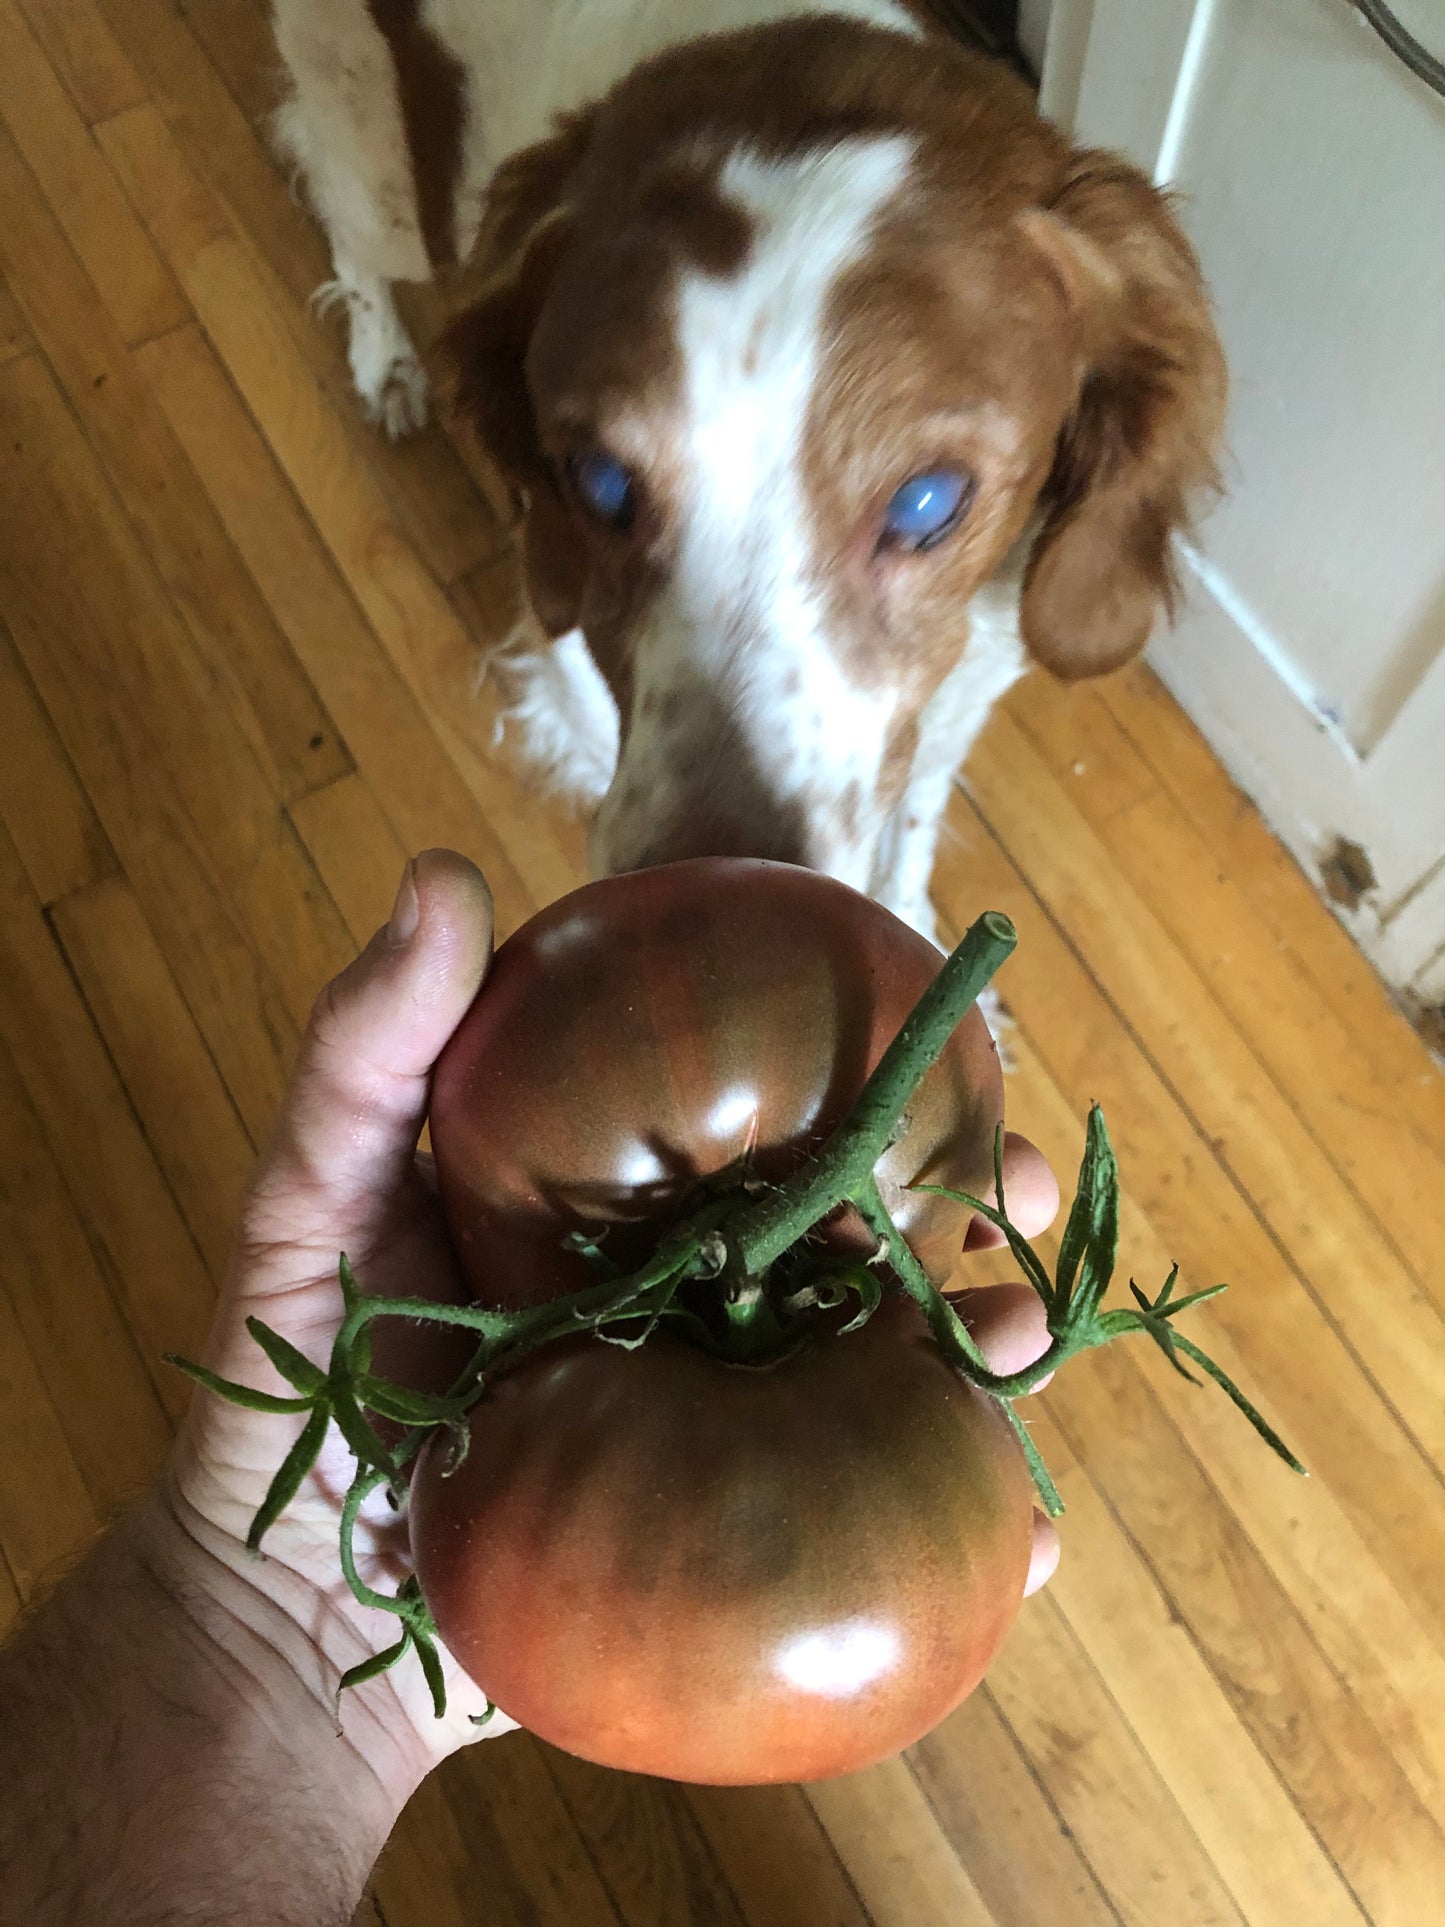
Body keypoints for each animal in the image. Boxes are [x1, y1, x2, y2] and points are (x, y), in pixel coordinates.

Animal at [269, 0, 1225, 944]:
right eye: (599, 480)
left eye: (928, 501)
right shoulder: (569, 654)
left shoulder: (957, 680)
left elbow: (910, 817)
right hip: (373, 156)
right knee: (344, 219)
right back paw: (384, 363)